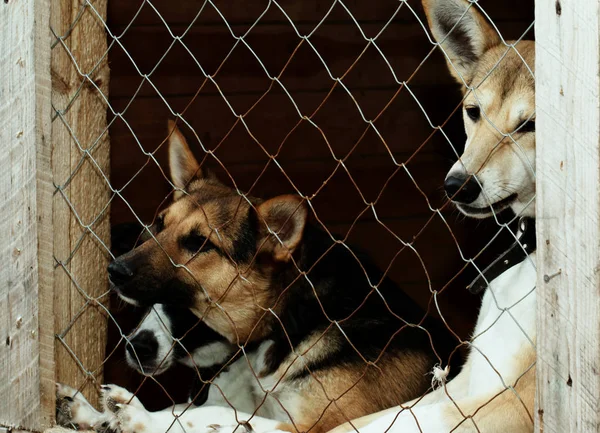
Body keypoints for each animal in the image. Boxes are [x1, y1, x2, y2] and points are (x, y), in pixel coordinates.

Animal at [78, 120, 460, 432]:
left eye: (200, 243)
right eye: (159, 224)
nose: (114, 270)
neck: (295, 313)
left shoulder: (313, 426)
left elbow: (206, 415)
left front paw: (135, 413)